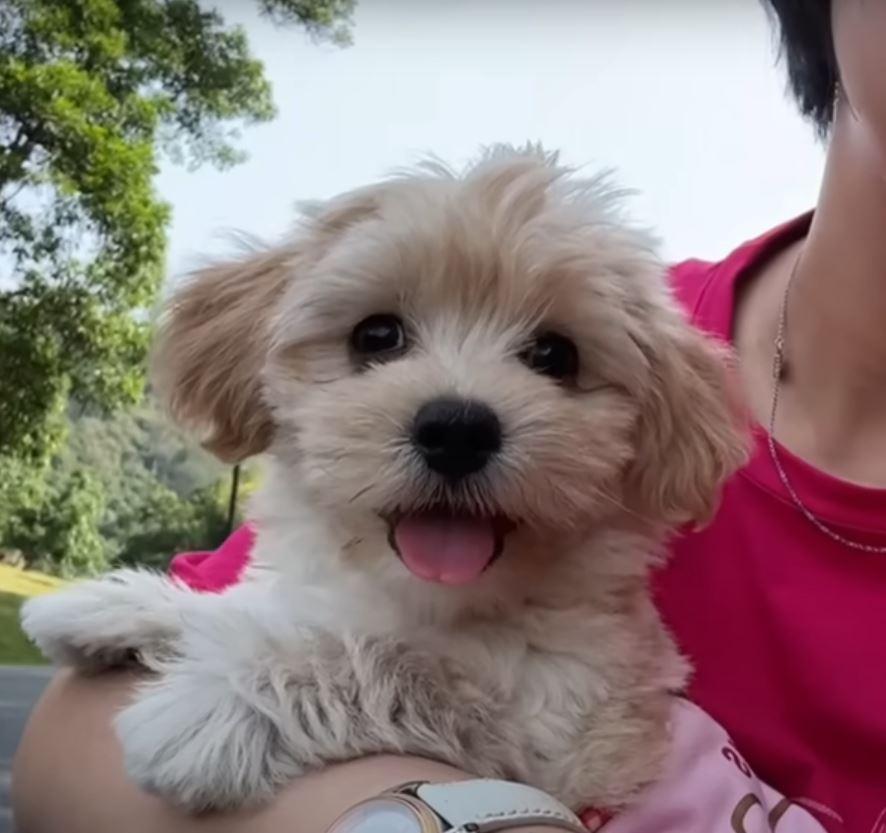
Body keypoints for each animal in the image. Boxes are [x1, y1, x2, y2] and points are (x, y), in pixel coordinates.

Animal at [20, 145, 748, 812]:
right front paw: (124, 608)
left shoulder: (558, 725)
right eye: (376, 335)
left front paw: (216, 703)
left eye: (554, 354)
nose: (458, 429)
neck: (430, 597)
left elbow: (388, 658)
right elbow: (265, 608)